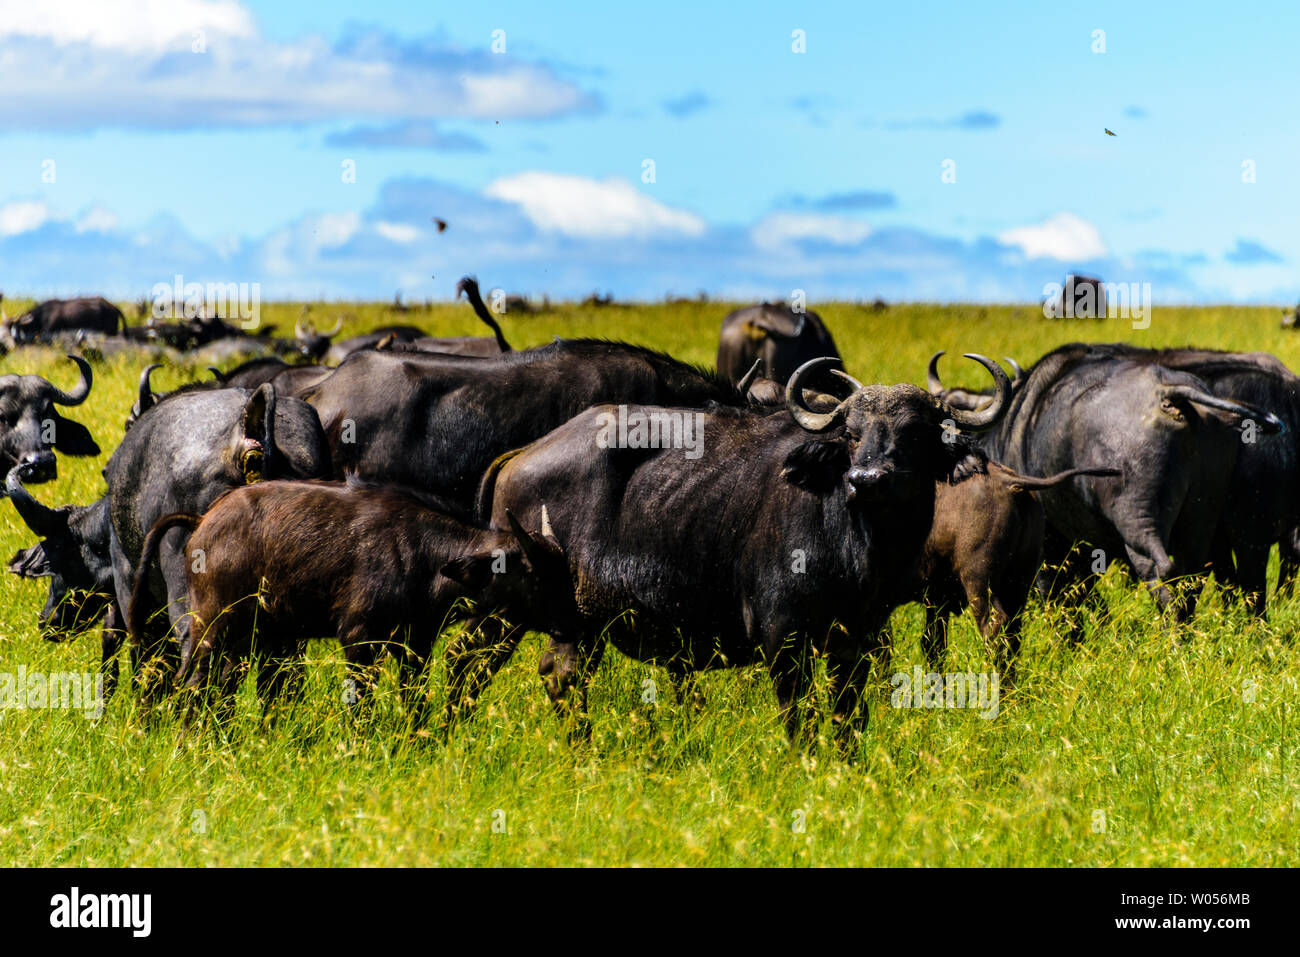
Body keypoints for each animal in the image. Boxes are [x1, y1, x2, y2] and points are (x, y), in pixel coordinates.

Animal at [130, 475, 569, 722]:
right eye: (535, 572)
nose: (573, 616)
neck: (422, 556)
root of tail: (203, 521)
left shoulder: (415, 645)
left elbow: (415, 700)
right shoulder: (359, 639)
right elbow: (362, 704)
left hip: (244, 638)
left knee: (219, 688)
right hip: (213, 627)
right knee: (192, 685)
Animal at [454, 356, 1003, 748]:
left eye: (914, 434)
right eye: (851, 434)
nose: (867, 479)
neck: (859, 544)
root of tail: (521, 456)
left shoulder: (857, 641)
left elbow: (848, 717)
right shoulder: (783, 639)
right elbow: (799, 719)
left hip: (577, 622)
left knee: (554, 675)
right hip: (509, 607)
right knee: (475, 662)